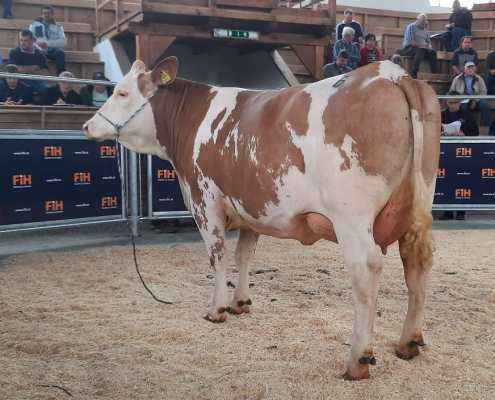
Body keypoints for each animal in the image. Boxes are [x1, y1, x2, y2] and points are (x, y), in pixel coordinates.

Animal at [84, 57, 442, 380]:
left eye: (122, 92)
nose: (87, 126)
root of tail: (393, 73)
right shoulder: (250, 210)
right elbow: (243, 255)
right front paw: (241, 302)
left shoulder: (204, 202)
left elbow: (217, 257)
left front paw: (217, 310)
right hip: (419, 203)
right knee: (418, 261)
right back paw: (408, 343)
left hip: (351, 216)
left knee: (366, 269)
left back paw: (357, 360)